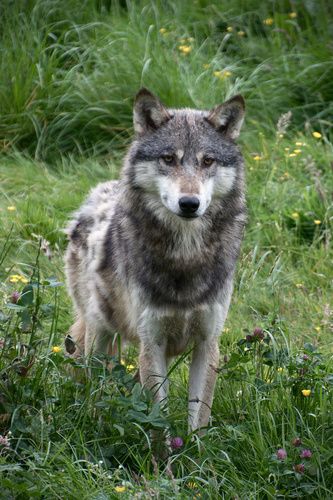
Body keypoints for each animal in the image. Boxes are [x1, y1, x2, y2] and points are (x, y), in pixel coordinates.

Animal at [65, 88, 245, 432]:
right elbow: (158, 420)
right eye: (168, 159)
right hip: (100, 335)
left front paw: (194, 448)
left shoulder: (207, 343)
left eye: (207, 161)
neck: (186, 255)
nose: (189, 203)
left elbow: (198, 421)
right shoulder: (152, 343)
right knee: (91, 382)